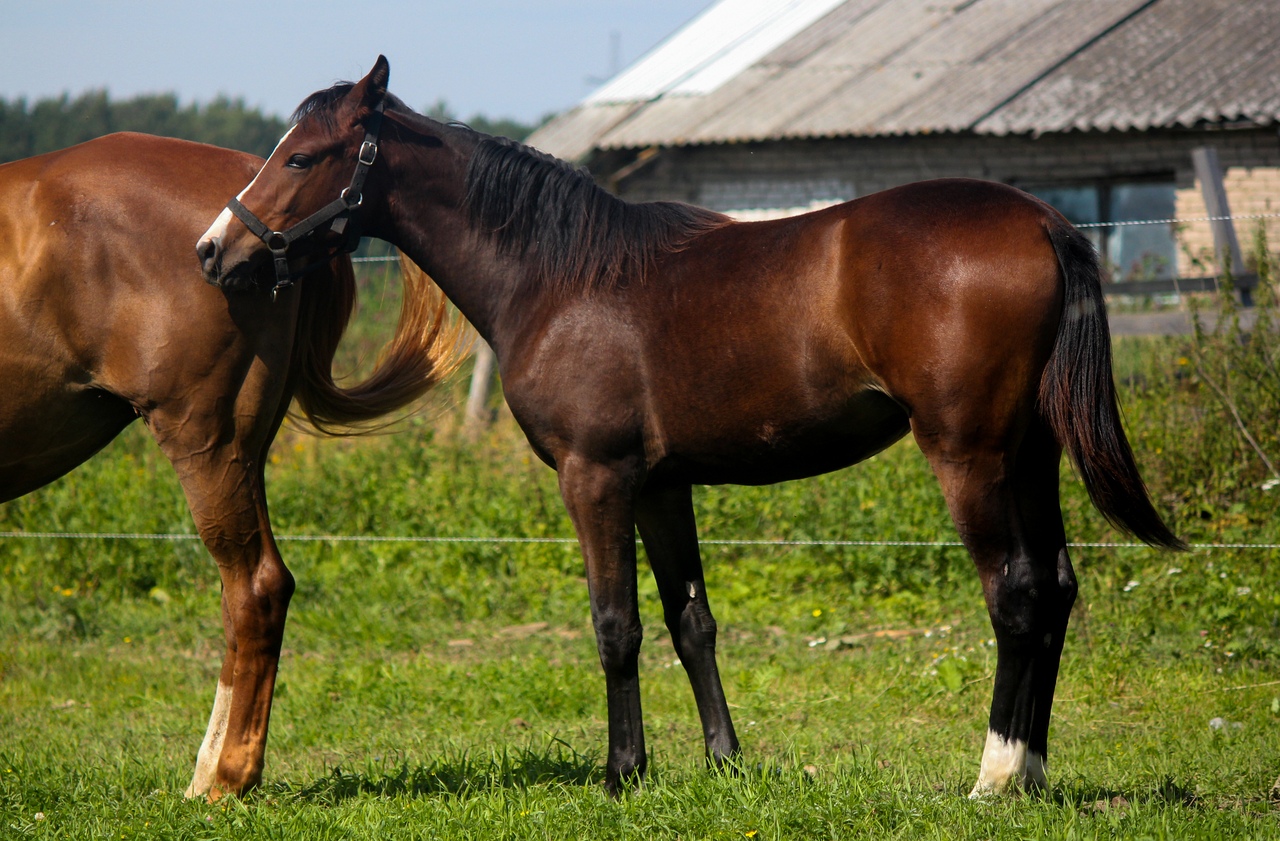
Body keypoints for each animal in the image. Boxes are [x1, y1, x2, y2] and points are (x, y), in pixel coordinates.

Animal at [197, 56, 1183, 798]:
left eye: (301, 158)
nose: (214, 250)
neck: (561, 277)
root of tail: (1046, 221)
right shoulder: (662, 485)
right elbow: (690, 620)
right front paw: (722, 761)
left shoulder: (595, 478)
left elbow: (615, 624)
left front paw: (622, 770)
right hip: (1032, 453)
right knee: (1055, 587)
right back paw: (1035, 770)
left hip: (970, 455)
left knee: (1014, 593)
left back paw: (995, 774)